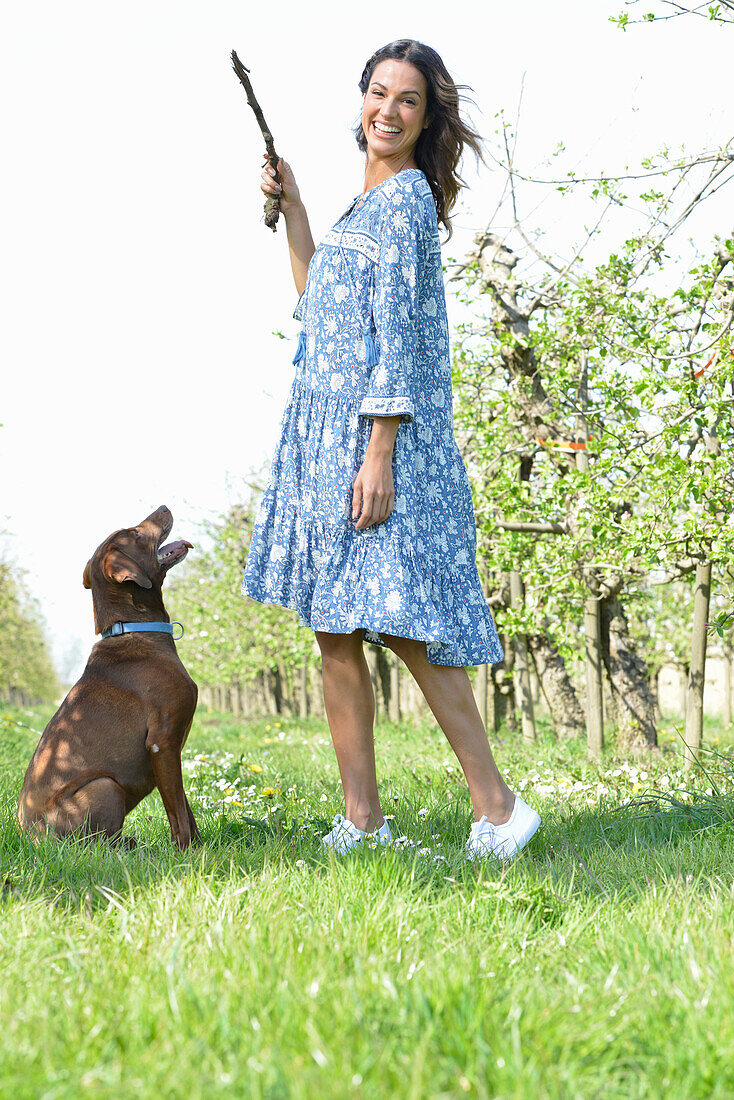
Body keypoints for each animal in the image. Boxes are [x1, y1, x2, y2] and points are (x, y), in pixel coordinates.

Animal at [18, 506, 199, 849]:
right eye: (136, 533)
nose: (164, 507)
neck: (133, 628)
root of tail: (31, 837)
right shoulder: (162, 742)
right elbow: (178, 812)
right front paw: (187, 852)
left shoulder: (172, 747)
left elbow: (185, 807)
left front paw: (201, 845)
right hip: (104, 785)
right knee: (93, 844)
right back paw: (130, 846)